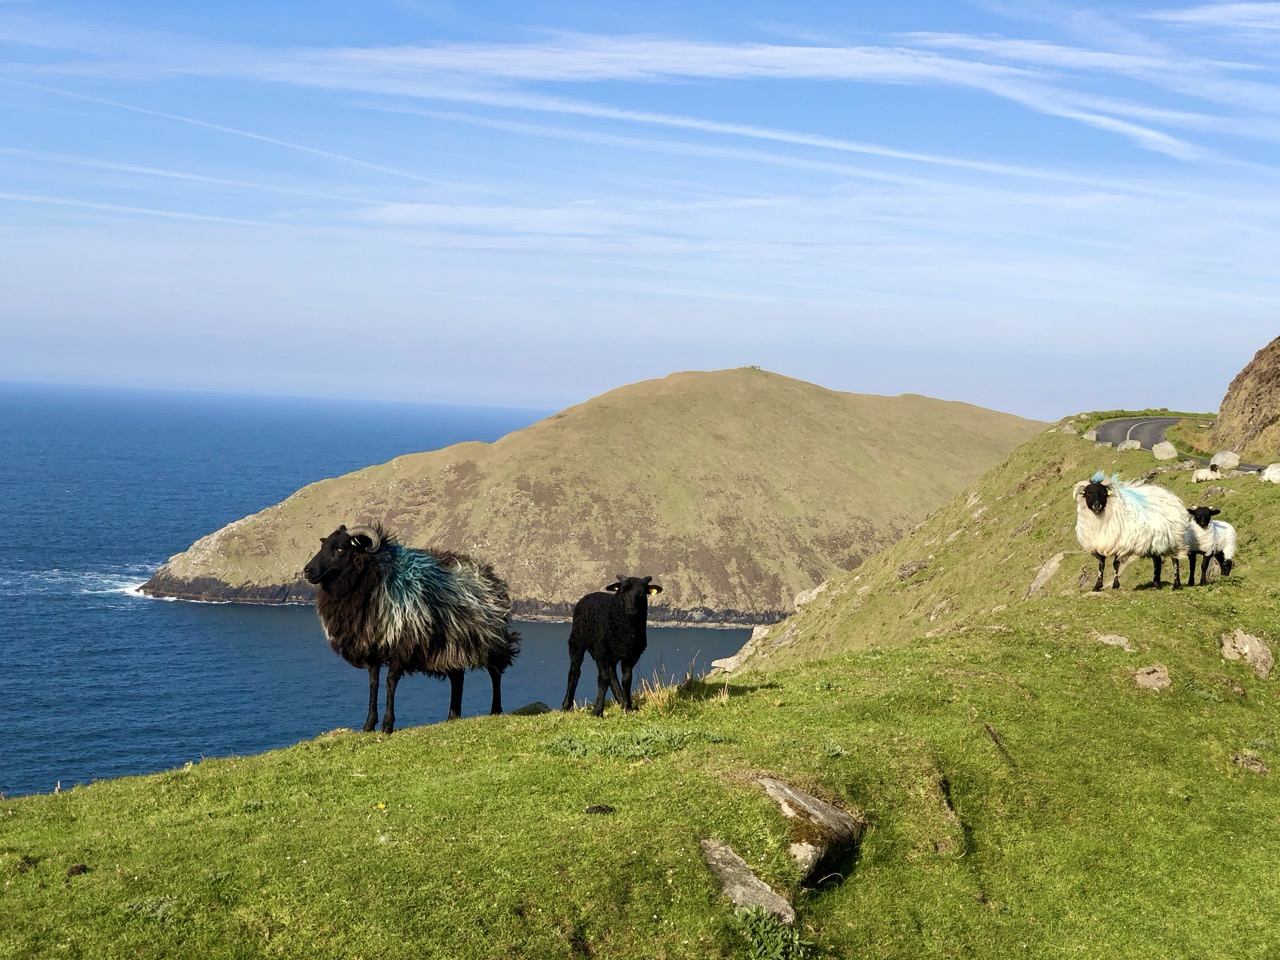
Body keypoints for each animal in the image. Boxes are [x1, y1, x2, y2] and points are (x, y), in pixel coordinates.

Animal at [303, 524, 520, 733]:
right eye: (323, 545)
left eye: (340, 549)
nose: (307, 571)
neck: (374, 580)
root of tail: (489, 574)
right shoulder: (372, 648)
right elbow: (374, 683)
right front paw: (368, 725)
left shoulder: (402, 644)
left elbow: (390, 682)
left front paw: (387, 725)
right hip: (451, 646)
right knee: (457, 677)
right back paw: (452, 716)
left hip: (491, 639)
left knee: (495, 672)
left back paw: (495, 710)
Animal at [561, 574, 662, 716]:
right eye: (622, 591)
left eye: (642, 593)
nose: (631, 610)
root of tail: (589, 595)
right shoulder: (603, 653)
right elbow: (603, 680)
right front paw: (598, 711)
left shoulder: (631, 655)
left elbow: (627, 681)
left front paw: (628, 707)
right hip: (577, 641)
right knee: (574, 672)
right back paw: (566, 705)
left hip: (611, 653)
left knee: (612, 674)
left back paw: (621, 700)